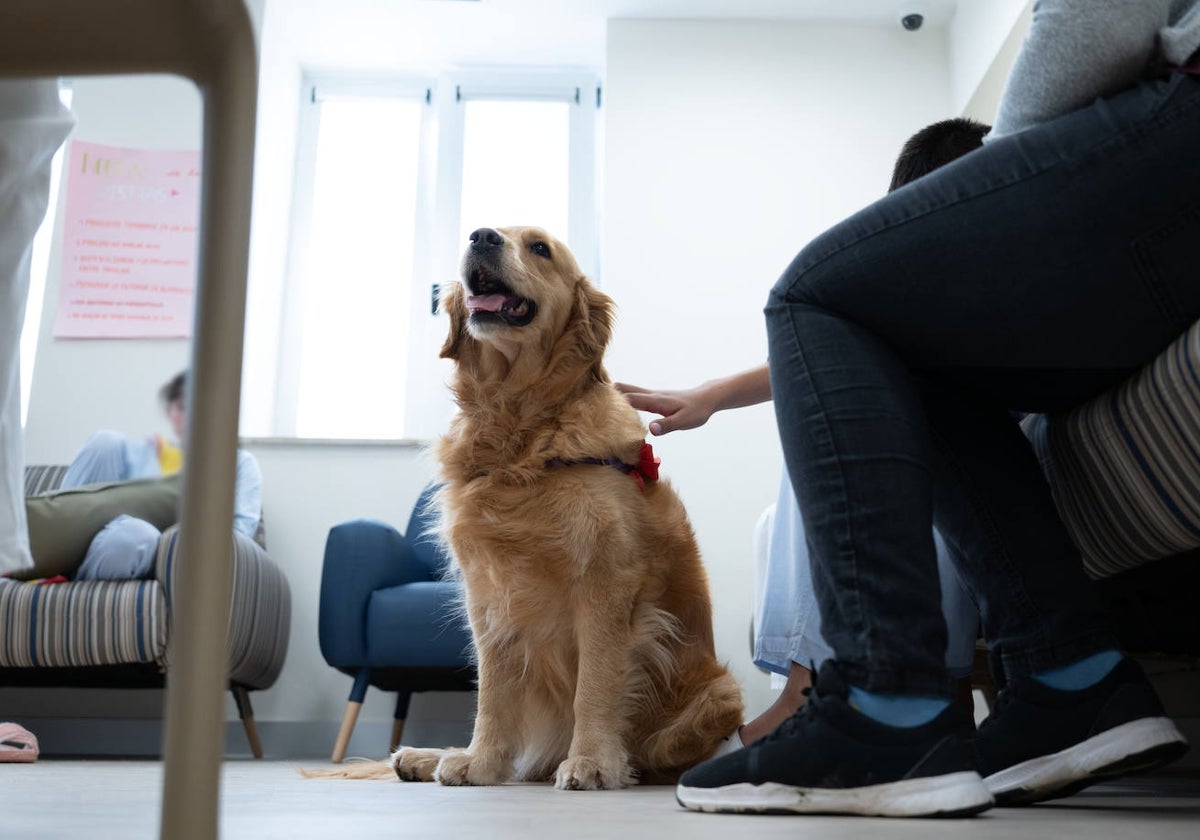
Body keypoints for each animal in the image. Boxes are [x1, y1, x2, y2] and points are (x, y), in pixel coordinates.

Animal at [304, 228, 739, 787]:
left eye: (540, 249)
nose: (482, 236)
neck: (519, 429)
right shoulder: (489, 593)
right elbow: (492, 694)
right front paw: (479, 761)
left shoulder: (605, 582)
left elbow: (596, 683)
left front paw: (593, 761)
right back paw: (429, 756)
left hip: (717, 696)